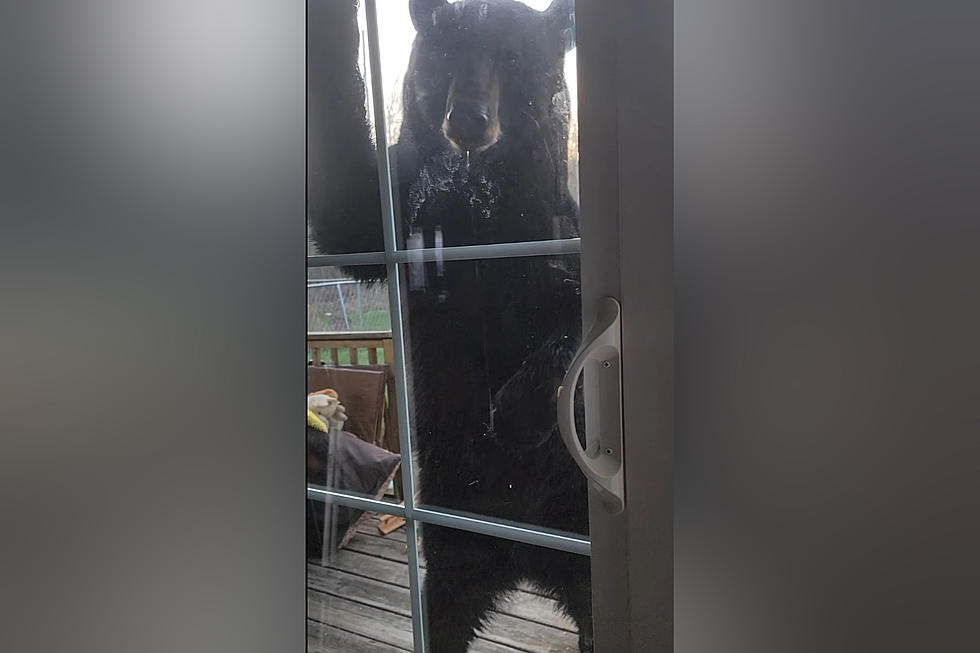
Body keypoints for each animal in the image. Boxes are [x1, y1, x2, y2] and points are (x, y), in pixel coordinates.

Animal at [310, 2, 588, 648]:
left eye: (511, 56)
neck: (480, 198)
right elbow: (347, 208)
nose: (468, 118)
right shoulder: (412, 216)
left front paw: (514, 412)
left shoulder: (549, 235)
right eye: (445, 51)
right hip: (454, 543)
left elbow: (580, 313)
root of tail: (526, 561)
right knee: (444, 609)